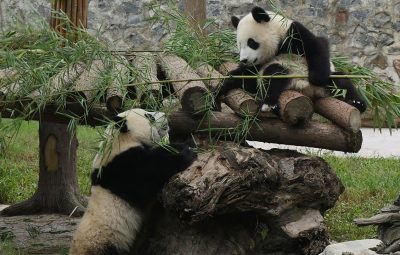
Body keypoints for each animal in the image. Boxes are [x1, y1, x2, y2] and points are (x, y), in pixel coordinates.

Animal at [70, 108, 198, 255]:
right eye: (149, 116)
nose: (166, 115)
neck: (120, 140)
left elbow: (162, 150)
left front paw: (187, 143)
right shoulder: (122, 168)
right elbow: (151, 172)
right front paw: (187, 153)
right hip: (103, 243)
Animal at [217, 6, 368, 114]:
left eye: (251, 43)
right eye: (239, 45)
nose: (244, 60)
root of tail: (308, 90)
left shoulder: (293, 32)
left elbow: (318, 46)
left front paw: (317, 77)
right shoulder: (259, 64)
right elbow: (246, 77)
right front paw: (220, 90)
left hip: (328, 84)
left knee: (341, 80)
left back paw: (357, 103)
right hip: (287, 75)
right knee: (273, 74)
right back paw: (269, 103)